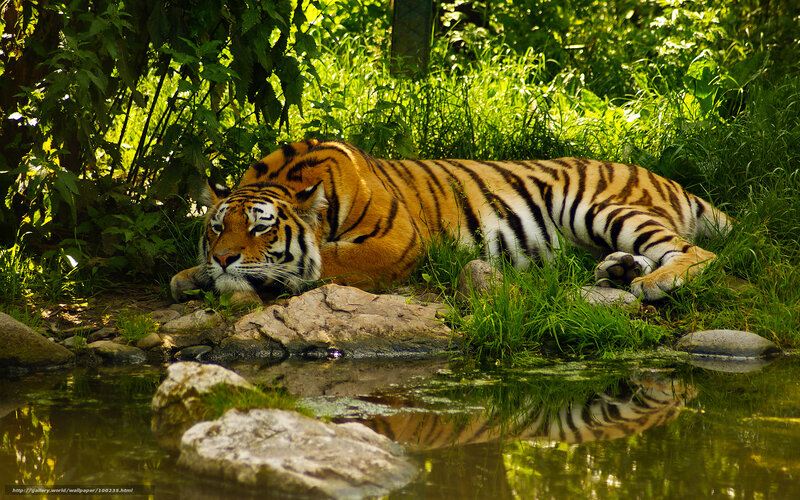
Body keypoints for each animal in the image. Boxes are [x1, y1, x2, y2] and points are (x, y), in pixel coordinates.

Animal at [170, 139, 732, 304]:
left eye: (261, 228)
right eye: (217, 227)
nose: (224, 258)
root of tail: (665, 178)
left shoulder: (396, 242)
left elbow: (325, 261)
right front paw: (192, 275)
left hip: (598, 206)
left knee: (697, 252)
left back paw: (654, 283)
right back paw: (619, 270)